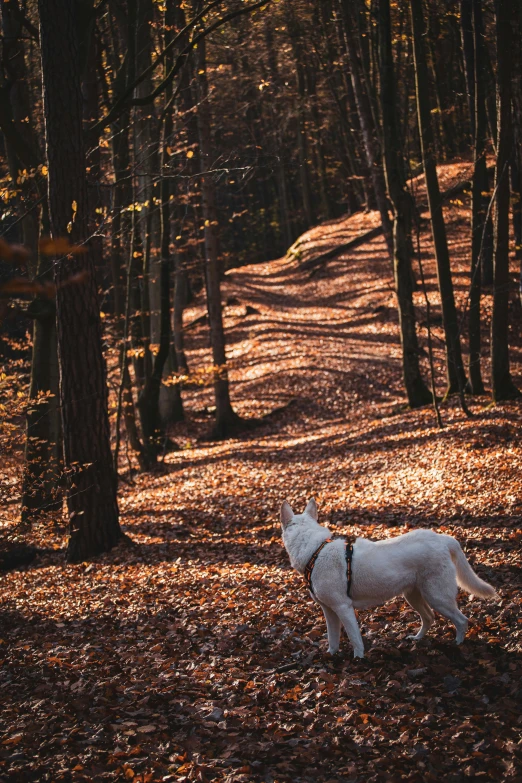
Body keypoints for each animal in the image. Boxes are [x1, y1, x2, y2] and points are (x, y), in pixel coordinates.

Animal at [280, 500, 496, 660]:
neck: (316, 551)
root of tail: (443, 539)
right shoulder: (329, 610)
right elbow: (333, 638)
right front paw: (331, 655)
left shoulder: (343, 607)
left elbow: (355, 638)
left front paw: (358, 659)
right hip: (414, 596)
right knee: (429, 617)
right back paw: (417, 639)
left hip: (437, 596)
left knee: (462, 620)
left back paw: (458, 644)